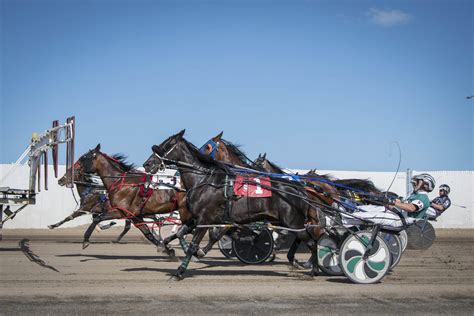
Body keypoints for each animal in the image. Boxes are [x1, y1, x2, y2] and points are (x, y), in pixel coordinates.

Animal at [143, 131, 320, 282]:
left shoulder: (206, 219)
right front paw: (165, 247)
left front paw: (179, 271)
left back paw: (314, 270)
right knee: (305, 239)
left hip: (293, 222)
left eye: (166, 144)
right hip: (284, 221)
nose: (147, 164)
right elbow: (180, 233)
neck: (206, 181)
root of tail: (299, 188)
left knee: (312, 242)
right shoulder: (199, 218)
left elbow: (195, 244)